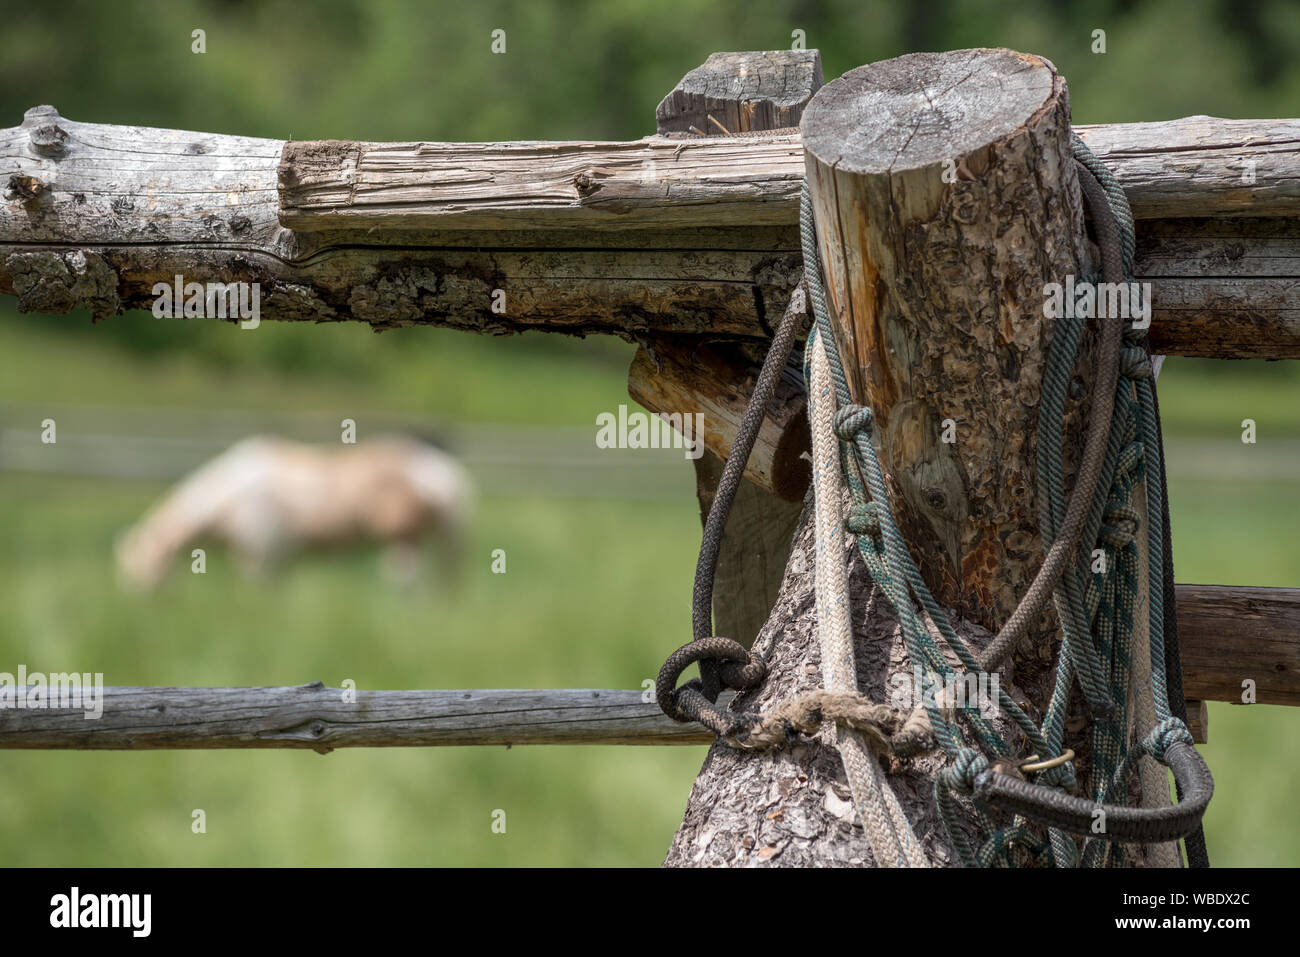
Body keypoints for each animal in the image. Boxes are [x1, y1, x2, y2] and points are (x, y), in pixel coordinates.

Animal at [116, 434, 473, 590]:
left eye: (140, 567)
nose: (137, 606)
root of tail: (446, 471)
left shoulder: (262, 551)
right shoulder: (279, 556)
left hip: (405, 537)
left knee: (410, 580)